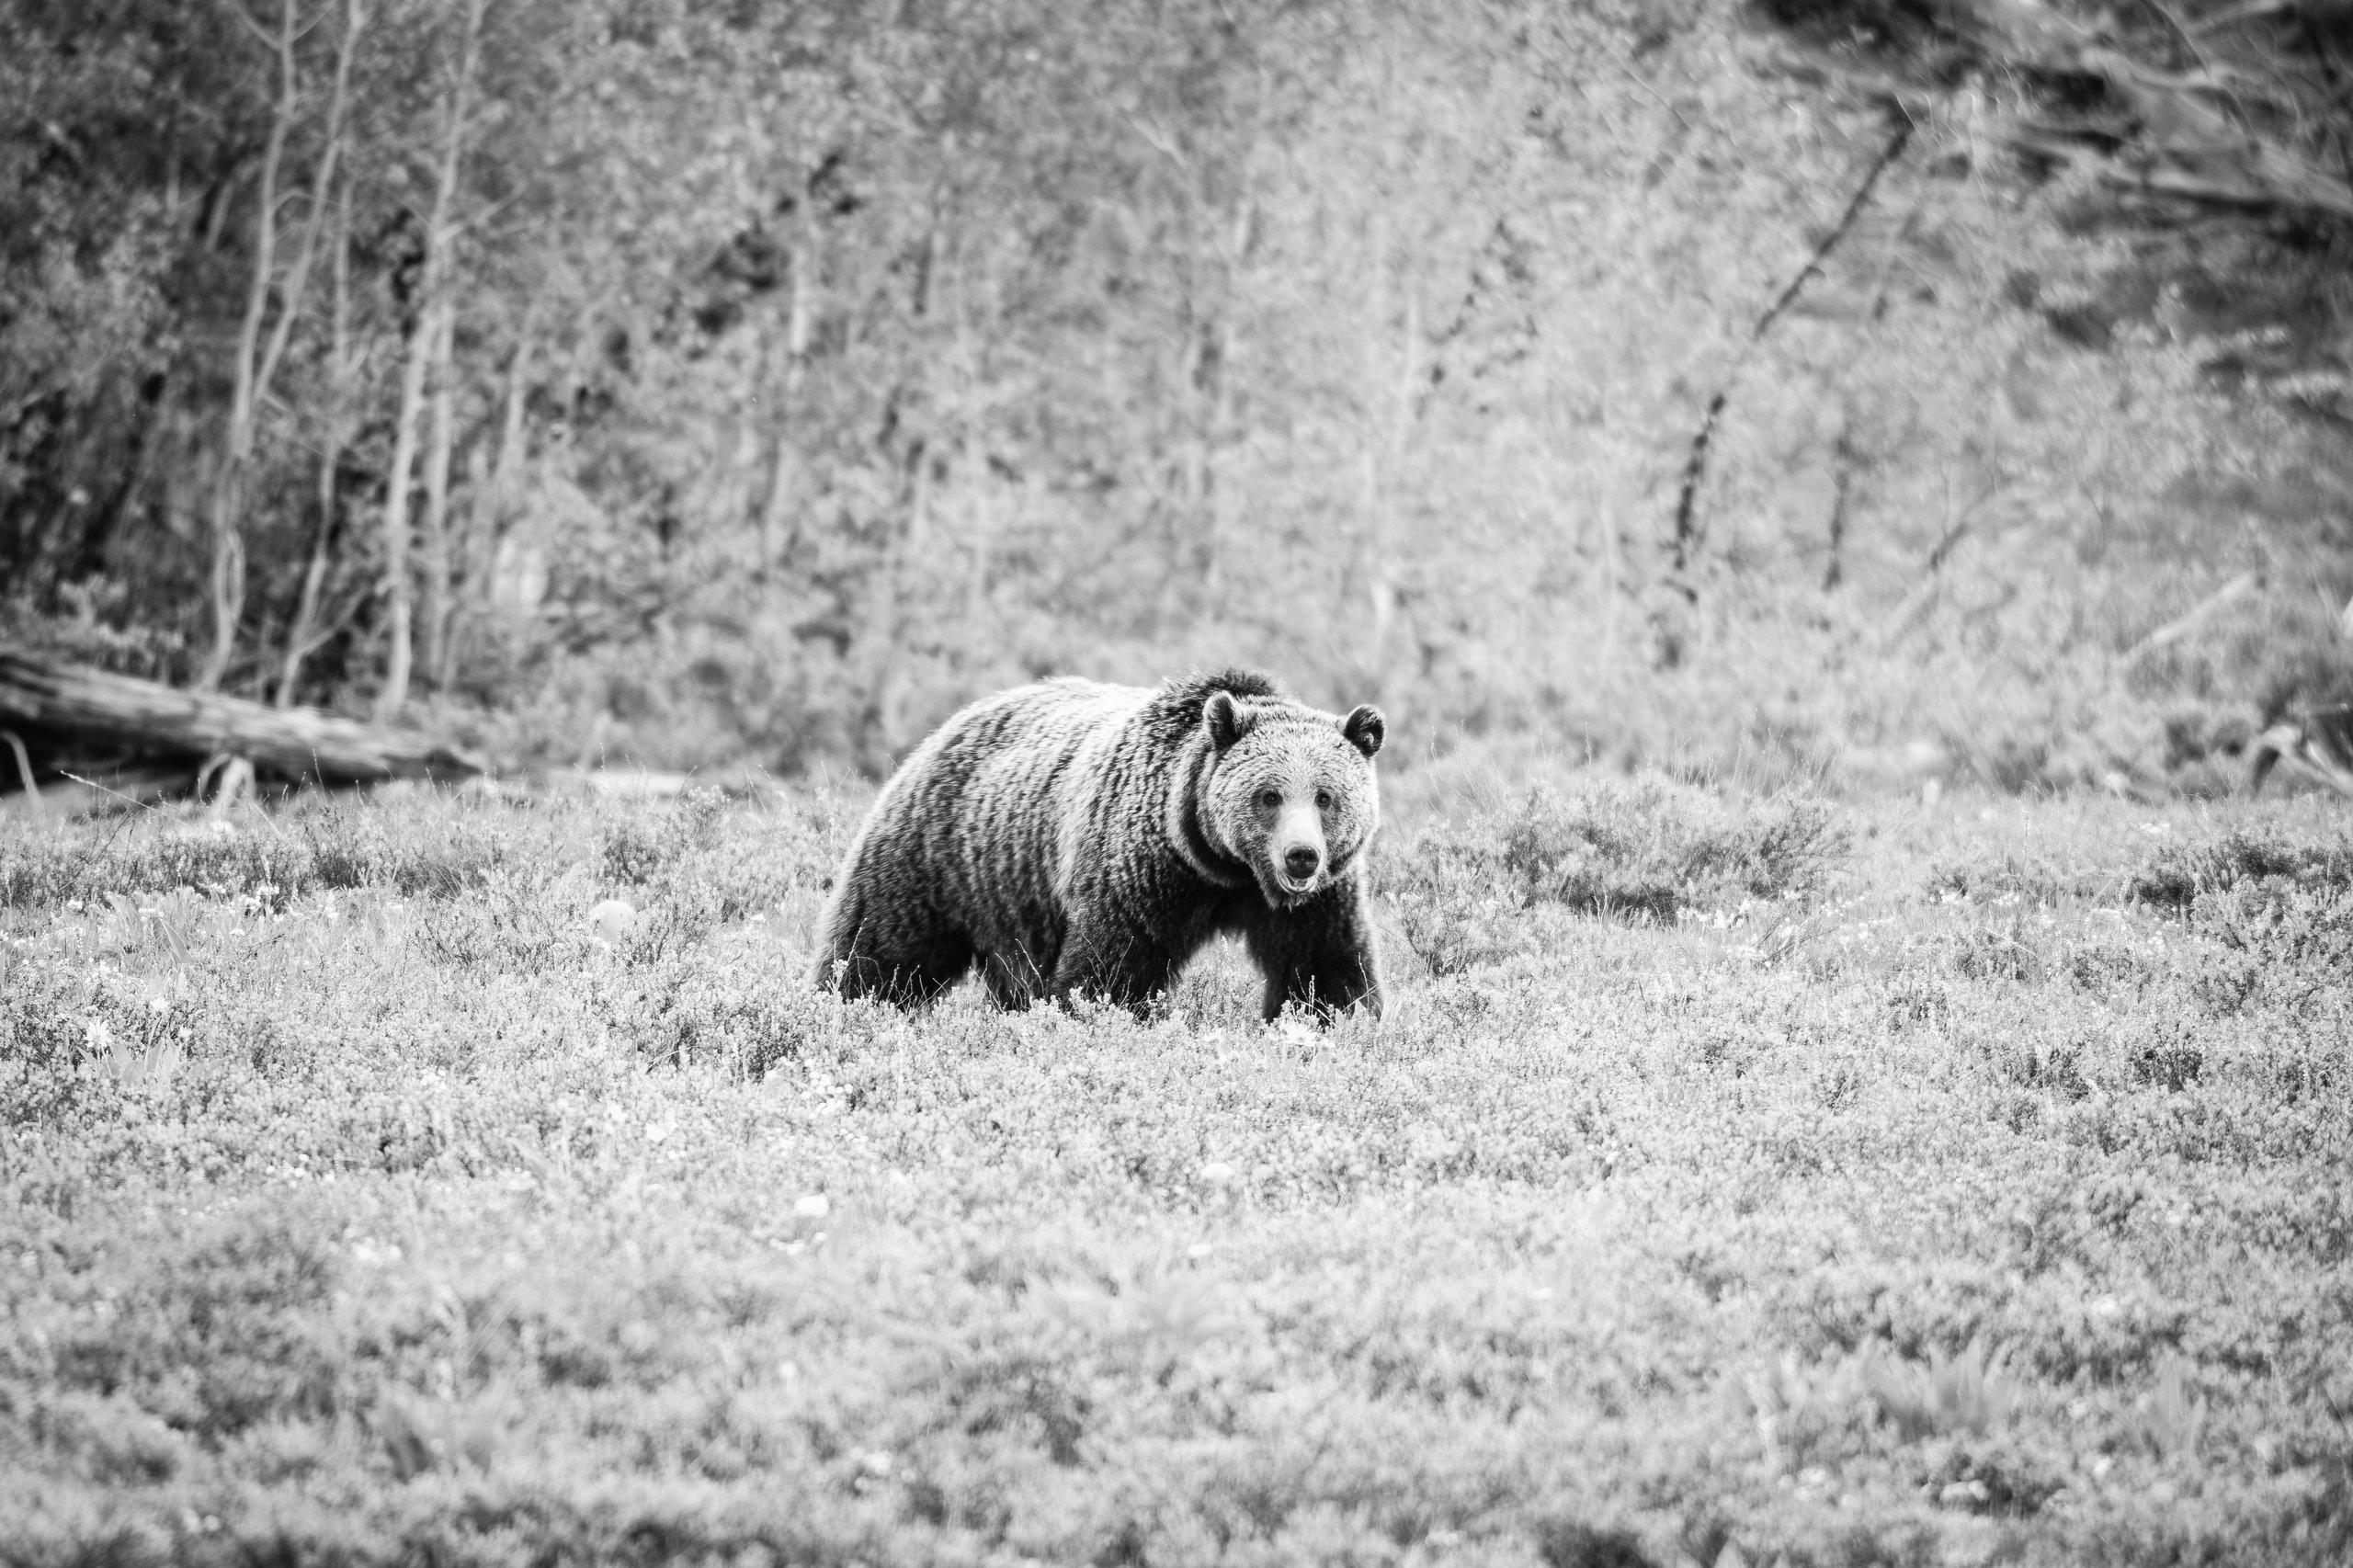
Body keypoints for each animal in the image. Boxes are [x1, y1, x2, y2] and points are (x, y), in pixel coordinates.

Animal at [810, 668, 1387, 1021]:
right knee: (878, 950)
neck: (1223, 868)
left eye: (1325, 796)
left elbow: (1324, 970)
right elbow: (1111, 971)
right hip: (935, 856)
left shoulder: (1318, 900)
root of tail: (952, 722)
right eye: (1269, 795)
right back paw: (841, 1003)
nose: (1301, 856)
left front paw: (1335, 1022)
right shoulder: (1140, 870)